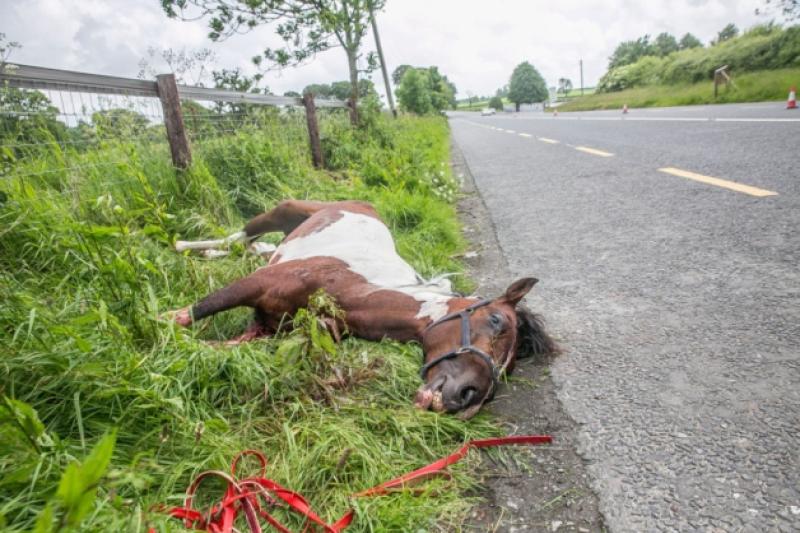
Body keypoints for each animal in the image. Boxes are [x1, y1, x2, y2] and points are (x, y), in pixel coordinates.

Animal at [168, 200, 558, 418]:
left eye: (511, 367)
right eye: (495, 320)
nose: (468, 397)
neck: (352, 291)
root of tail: (362, 204)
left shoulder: (262, 331)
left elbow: (210, 349)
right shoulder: (255, 284)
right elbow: (192, 313)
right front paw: (159, 327)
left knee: (249, 247)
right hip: (283, 212)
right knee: (240, 235)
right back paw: (183, 244)